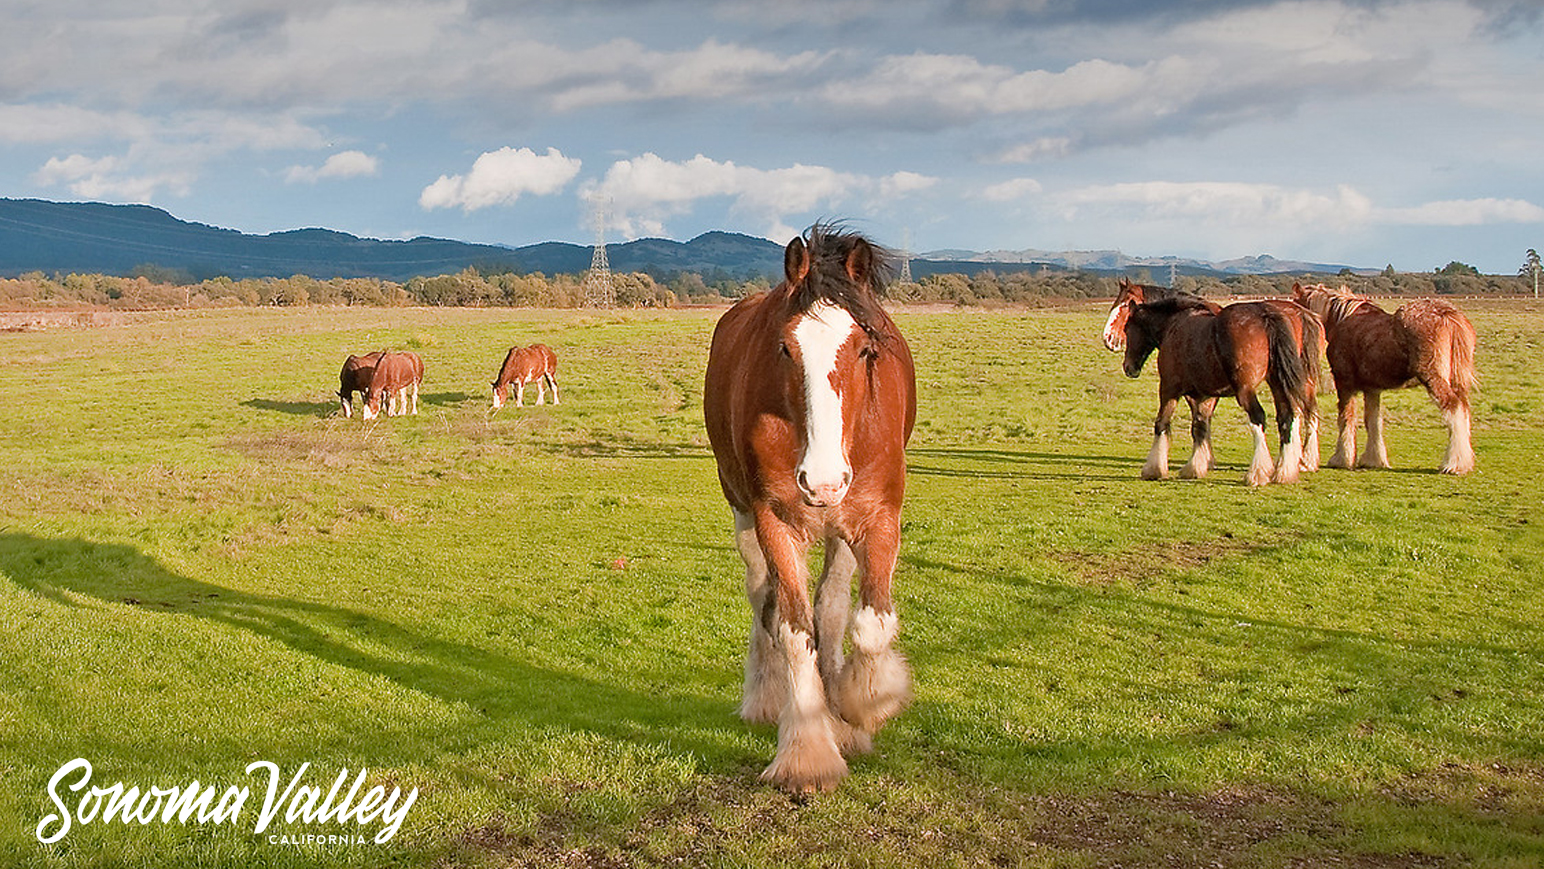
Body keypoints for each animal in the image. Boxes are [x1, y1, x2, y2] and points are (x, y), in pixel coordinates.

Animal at [704, 226, 914, 796]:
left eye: (865, 348)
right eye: (784, 347)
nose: (822, 481)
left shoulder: (879, 517)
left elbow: (868, 623)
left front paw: (861, 707)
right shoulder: (774, 520)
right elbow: (794, 632)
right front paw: (807, 752)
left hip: (840, 528)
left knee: (833, 607)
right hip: (743, 512)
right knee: (764, 600)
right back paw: (764, 696)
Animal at [1105, 280, 1321, 475]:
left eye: (1124, 307)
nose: (1109, 340)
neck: (1173, 323)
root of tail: (1269, 315)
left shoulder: (1169, 388)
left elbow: (1163, 423)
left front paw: (1154, 468)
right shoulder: (1204, 394)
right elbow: (1200, 425)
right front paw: (1198, 465)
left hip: (1247, 389)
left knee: (1261, 417)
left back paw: (1259, 472)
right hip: (1281, 382)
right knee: (1289, 416)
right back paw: (1285, 469)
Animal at [1284, 284, 1476, 475]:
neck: (1341, 320)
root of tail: (1448, 315)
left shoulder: (1345, 384)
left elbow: (1346, 418)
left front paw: (1341, 459)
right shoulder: (1372, 389)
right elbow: (1373, 421)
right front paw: (1373, 459)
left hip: (1434, 380)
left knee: (1454, 408)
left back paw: (1453, 464)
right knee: (1463, 409)